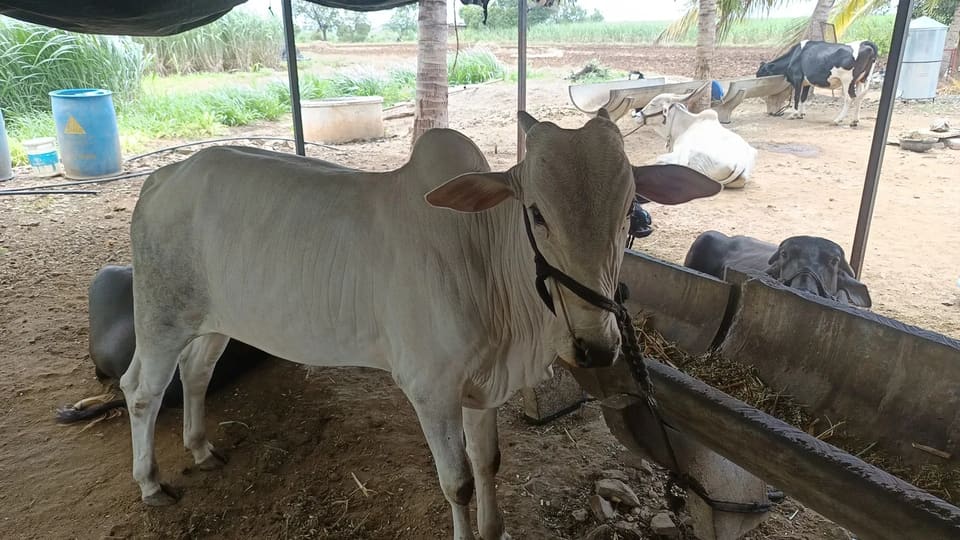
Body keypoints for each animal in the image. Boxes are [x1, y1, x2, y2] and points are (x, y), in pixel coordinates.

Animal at [117, 111, 721, 539]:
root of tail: (163, 176)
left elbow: (489, 464)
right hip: (160, 315)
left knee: (196, 373)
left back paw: (201, 448)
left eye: (630, 213)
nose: (595, 346)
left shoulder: (481, 388)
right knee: (141, 389)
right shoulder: (431, 391)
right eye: (536, 213)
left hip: (216, 321)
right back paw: (149, 482)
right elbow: (458, 484)